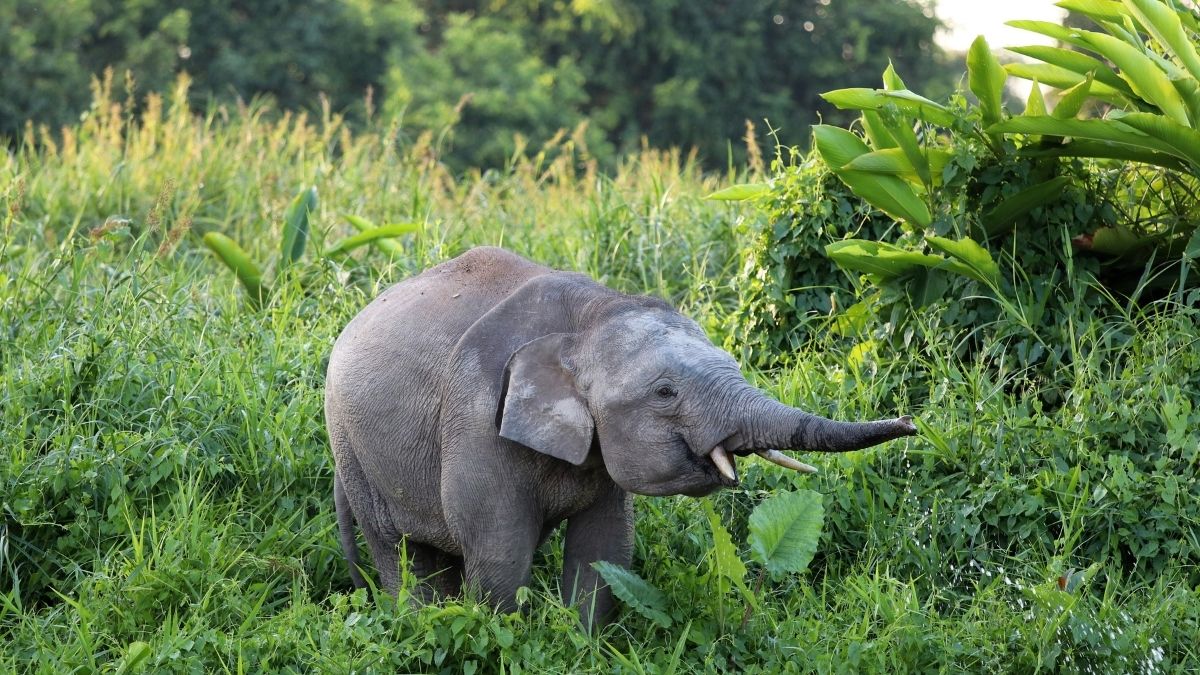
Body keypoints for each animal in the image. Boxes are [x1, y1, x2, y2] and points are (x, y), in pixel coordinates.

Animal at [324, 246, 912, 624]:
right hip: (352, 450)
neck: (590, 314)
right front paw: (501, 637)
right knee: (401, 553)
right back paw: (415, 623)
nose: (910, 421)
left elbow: (605, 548)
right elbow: (498, 552)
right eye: (665, 392)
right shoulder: (477, 422)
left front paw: (581, 642)